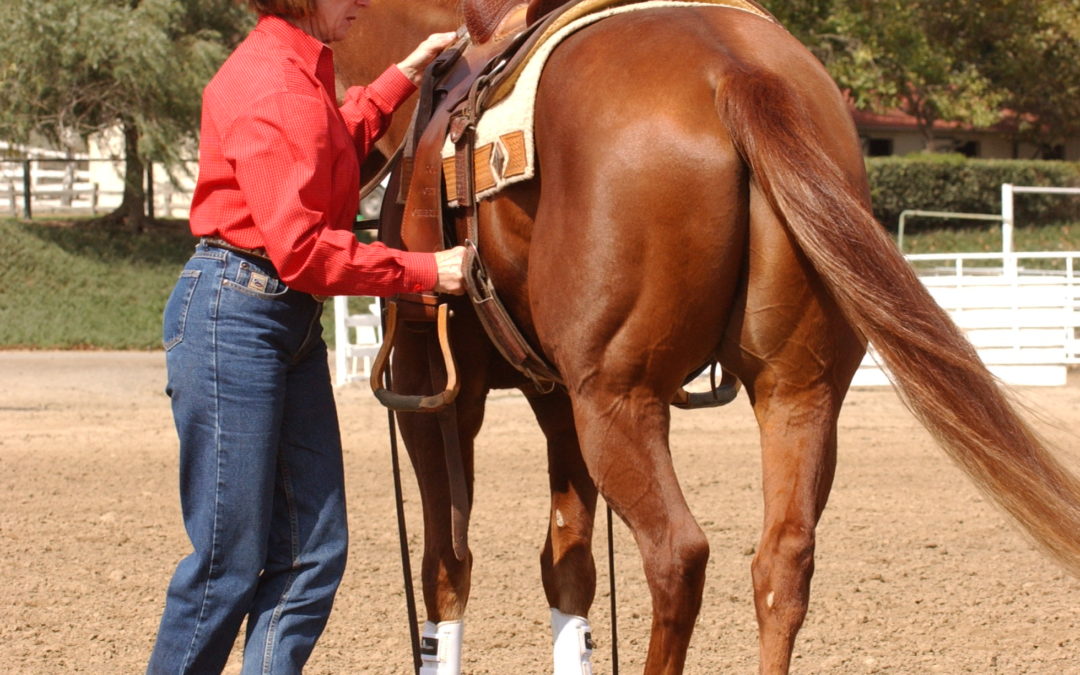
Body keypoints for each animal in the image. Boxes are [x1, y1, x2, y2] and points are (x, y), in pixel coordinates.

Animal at [332, 2, 1080, 669]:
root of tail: (731, 69)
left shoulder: (437, 392)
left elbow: (447, 565)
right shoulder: (556, 398)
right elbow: (568, 565)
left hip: (620, 400)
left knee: (677, 555)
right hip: (798, 392)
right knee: (783, 561)